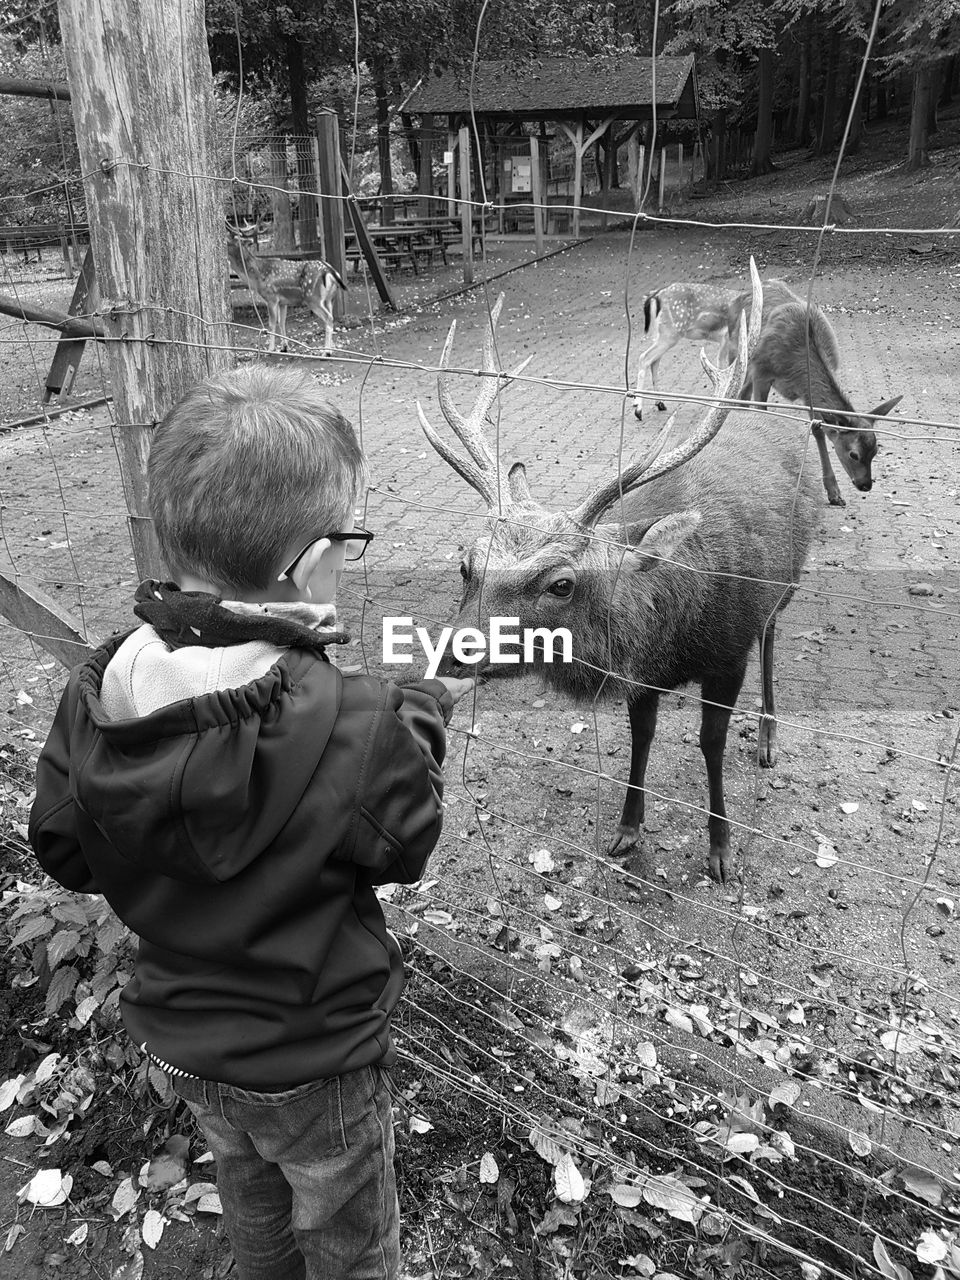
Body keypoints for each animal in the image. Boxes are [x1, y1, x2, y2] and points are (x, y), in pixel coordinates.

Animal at [225, 225, 345, 355]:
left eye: (227, 242)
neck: (257, 278)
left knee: (328, 318)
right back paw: (332, 348)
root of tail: (330, 272)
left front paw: (270, 349)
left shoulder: (271, 297)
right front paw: (284, 347)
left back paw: (326, 352)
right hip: (330, 299)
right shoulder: (283, 302)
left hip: (313, 298)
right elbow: (281, 322)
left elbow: (272, 324)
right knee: (331, 317)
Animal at [417, 270, 824, 885]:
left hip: (787, 583)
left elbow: (711, 742)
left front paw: (720, 849)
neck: (674, 632)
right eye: (467, 563)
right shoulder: (644, 676)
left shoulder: (728, 654)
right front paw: (628, 829)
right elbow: (642, 735)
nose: (450, 655)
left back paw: (768, 735)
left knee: (772, 634)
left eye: (561, 583)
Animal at [732, 282, 906, 506]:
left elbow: (818, 429)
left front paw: (834, 493)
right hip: (739, 350)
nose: (865, 485)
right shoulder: (762, 372)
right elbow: (762, 412)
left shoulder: (808, 393)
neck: (796, 365)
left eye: (875, 451)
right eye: (854, 454)